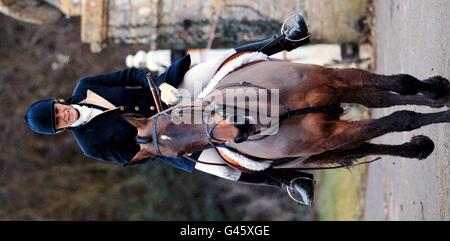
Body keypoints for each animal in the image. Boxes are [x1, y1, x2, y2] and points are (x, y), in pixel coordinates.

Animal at [124, 56, 450, 172]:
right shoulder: (331, 136)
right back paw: (418, 147)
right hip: (328, 148)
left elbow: (402, 83)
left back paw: (436, 98)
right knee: (369, 141)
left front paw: (437, 91)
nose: (240, 131)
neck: (270, 113)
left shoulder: (335, 80)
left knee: (385, 97)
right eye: (179, 156)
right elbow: (400, 118)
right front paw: (438, 119)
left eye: (178, 112)